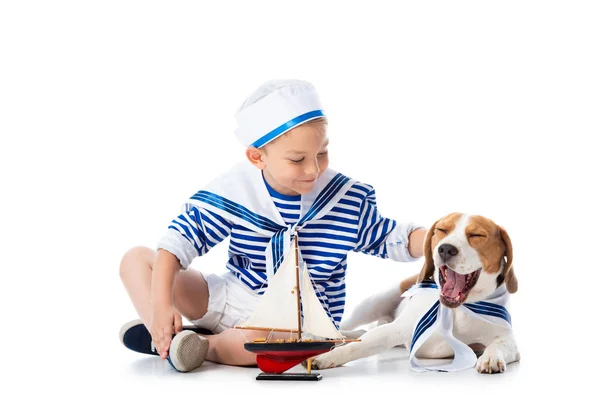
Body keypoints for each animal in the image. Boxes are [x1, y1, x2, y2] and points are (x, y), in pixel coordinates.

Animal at [312, 214, 516, 374]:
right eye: (442, 230)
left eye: (477, 235)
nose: (446, 248)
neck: (457, 309)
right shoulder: (394, 330)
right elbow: (358, 346)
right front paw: (327, 357)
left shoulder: (508, 341)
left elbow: (499, 346)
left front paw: (491, 358)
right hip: (372, 304)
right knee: (348, 328)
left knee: (360, 331)